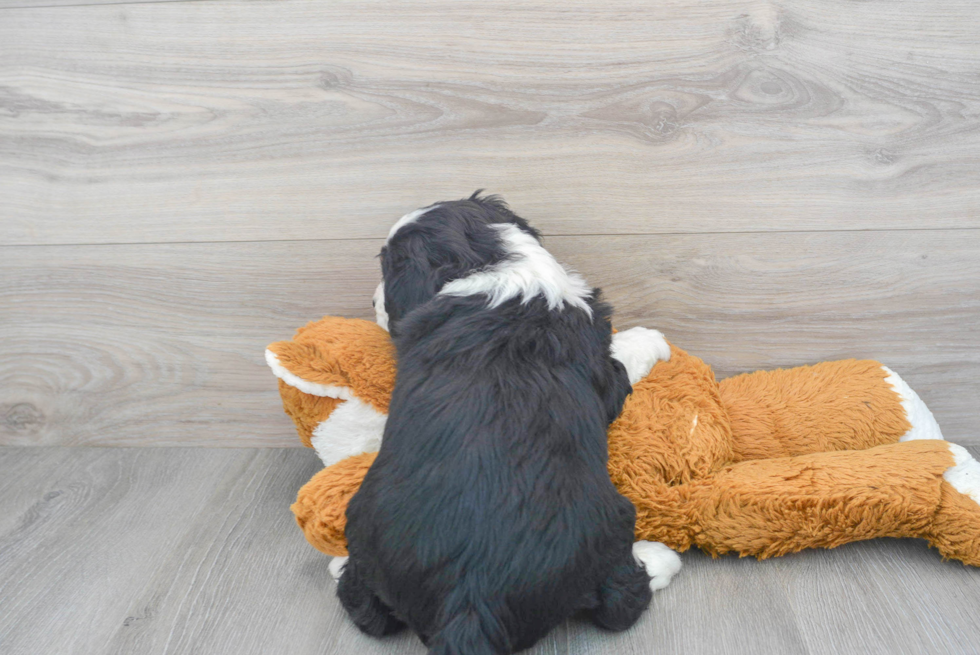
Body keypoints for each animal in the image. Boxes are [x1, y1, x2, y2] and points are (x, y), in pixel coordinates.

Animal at [334, 192, 676, 652]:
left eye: (387, 269)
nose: (373, 303)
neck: (490, 262)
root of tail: (468, 604)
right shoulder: (607, 376)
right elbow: (622, 359)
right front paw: (651, 339)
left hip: (364, 525)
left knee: (366, 608)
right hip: (612, 526)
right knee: (621, 601)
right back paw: (660, 559)